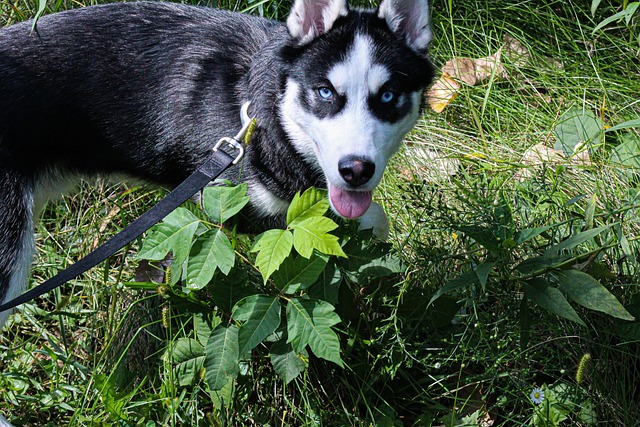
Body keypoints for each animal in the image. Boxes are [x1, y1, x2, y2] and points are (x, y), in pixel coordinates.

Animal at [0, 0, 432, 332]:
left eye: (388, 96)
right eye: (325, 92)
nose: (355, 170)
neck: (261, 112)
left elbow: (372, 219)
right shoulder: (229, 202)